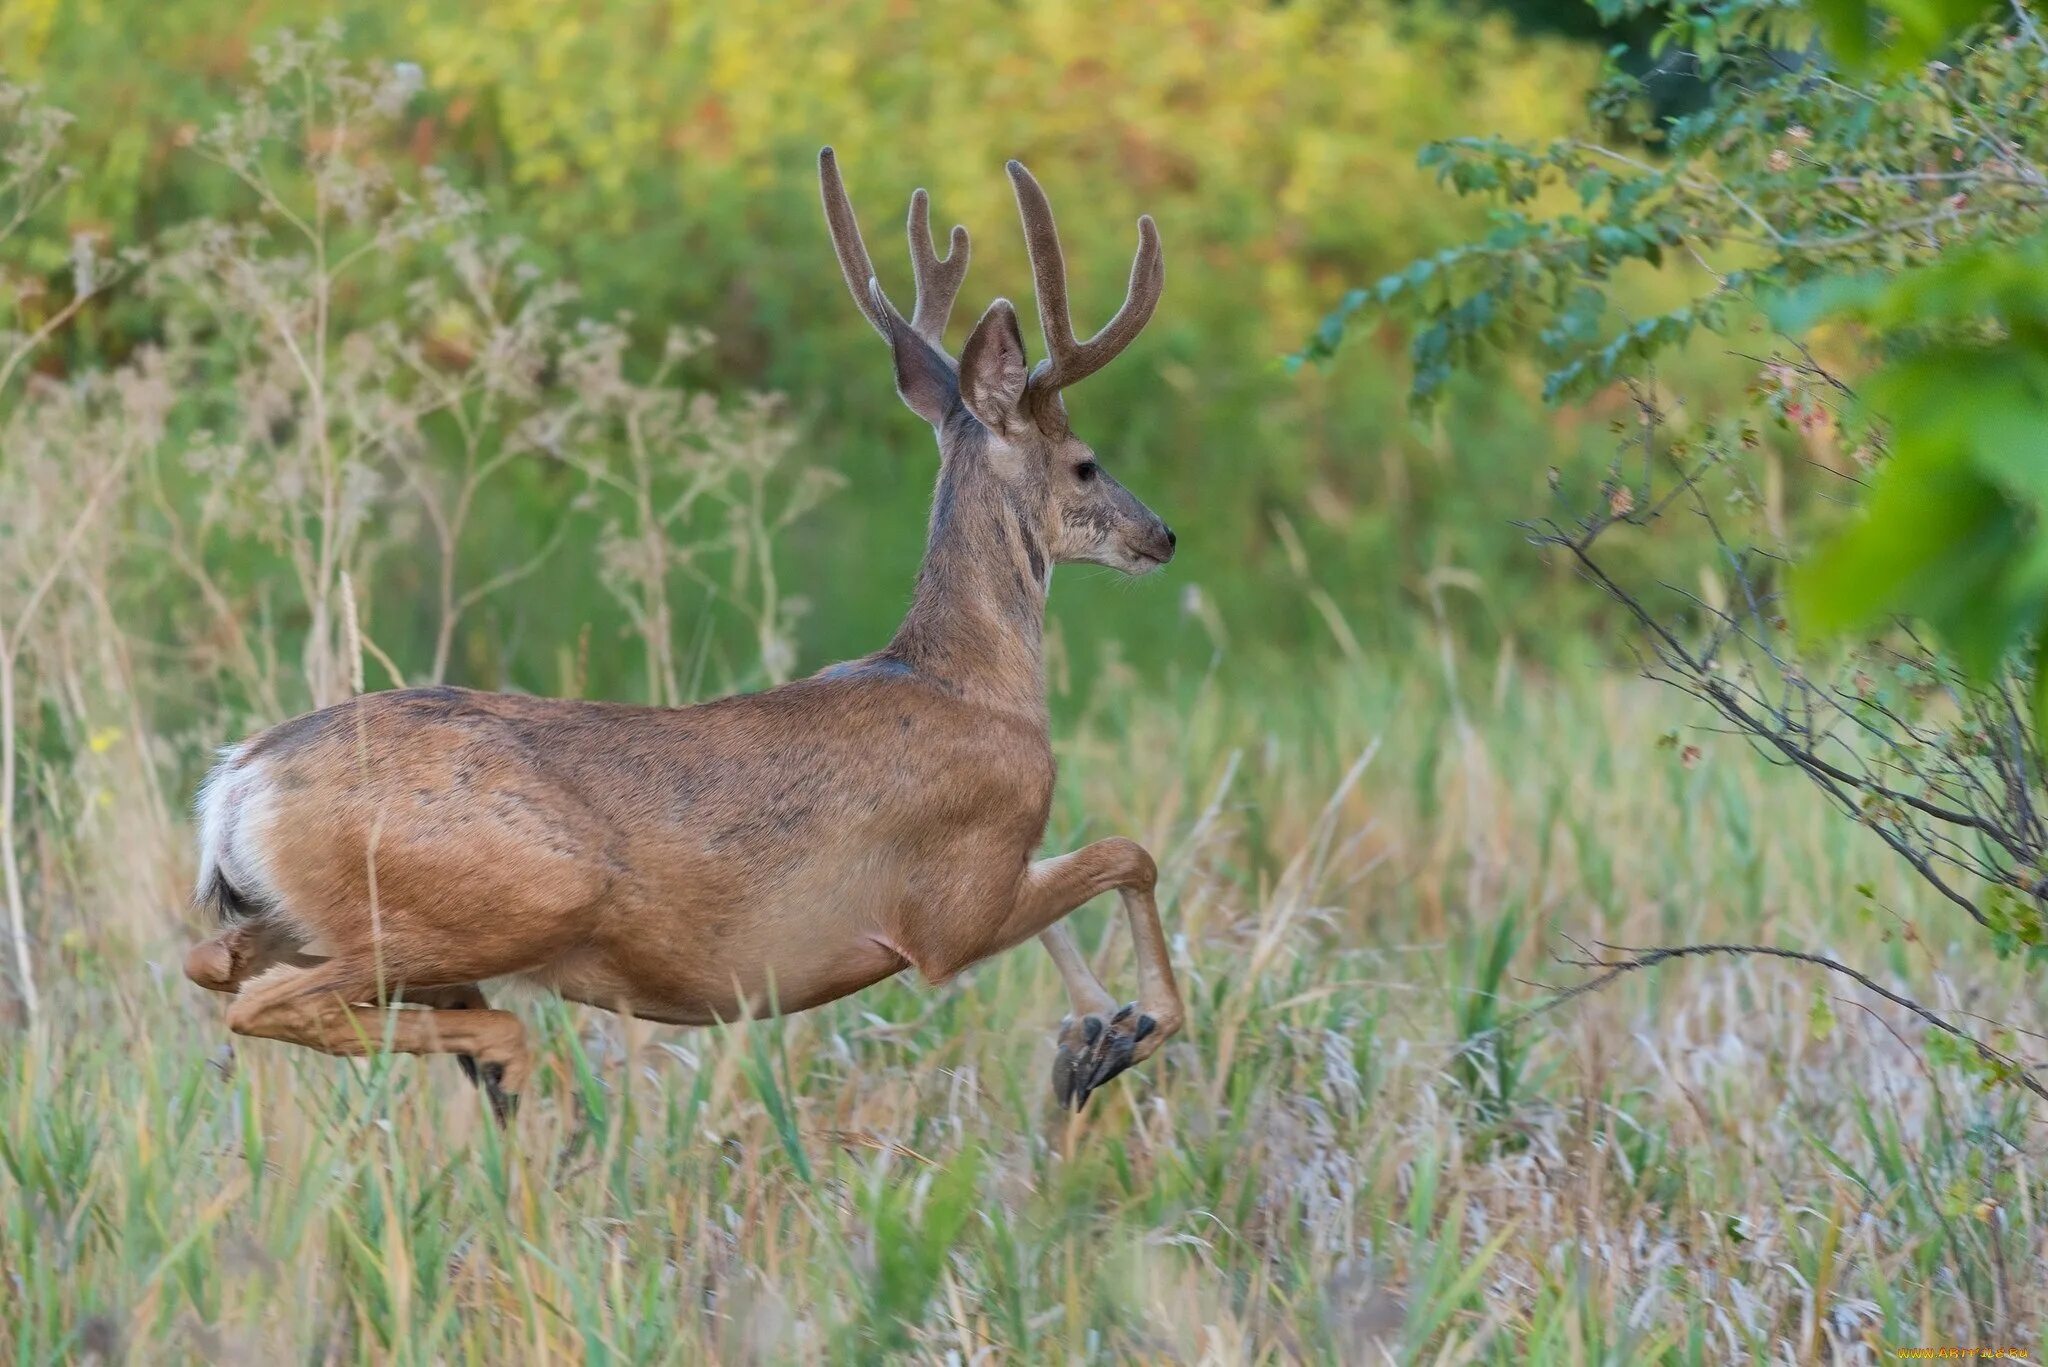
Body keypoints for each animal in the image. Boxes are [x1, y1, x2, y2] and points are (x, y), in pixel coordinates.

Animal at [193, 152, 1196, 1123]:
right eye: (1086, 464)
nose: (1163, 534)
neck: (971, 681)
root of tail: (240, 780)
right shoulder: (951, 905)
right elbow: (1129, 854)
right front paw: (1133, 1030)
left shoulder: (989, 877)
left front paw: (1091, 1037)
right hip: (499, 902)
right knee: (266, 1001)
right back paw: (508, 1057)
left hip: (293, 912)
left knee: (210, 966)